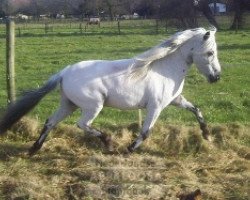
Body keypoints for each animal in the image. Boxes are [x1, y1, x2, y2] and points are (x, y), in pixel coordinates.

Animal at [0, 27, 222, 155]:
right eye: (210, 53)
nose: (216, 77)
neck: (165, 69)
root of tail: (64, 72)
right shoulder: (156, 107)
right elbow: (146, 132)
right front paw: (129, 149)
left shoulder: (176, 99)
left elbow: (196, 110)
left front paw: (207, 135)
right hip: (93, 106)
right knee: (82, 124)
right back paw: (108, 142)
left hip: (68, 104)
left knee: (50, 122)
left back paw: (34, 149)